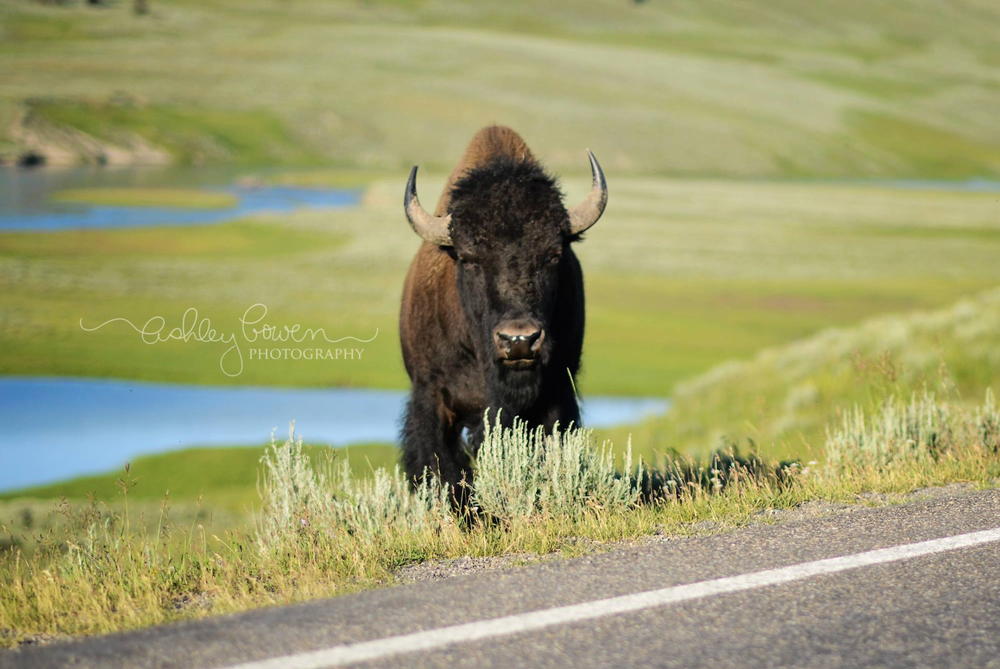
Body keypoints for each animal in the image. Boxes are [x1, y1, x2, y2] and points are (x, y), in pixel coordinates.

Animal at [399, 125, 607, 502]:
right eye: (469, 258)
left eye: (553, 255)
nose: (520, 340)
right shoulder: (431, 396)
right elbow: (442, 469)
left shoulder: (557, 395)